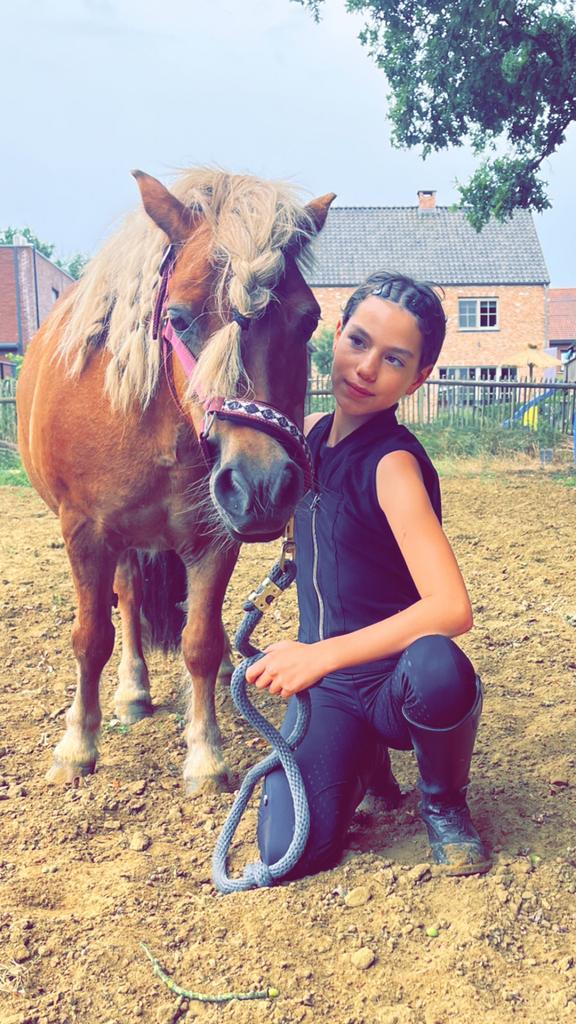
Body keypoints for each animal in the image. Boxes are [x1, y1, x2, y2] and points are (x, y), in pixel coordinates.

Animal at [17, 167, 334, 793]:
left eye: (308, 319)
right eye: (180, 318)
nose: (262, 487)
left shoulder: (214, 540)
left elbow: (201, 643)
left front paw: (206, 755)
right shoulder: (85, 532)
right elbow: (90, 638)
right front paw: (76, 746)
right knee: (127, 600)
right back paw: (132, 692)